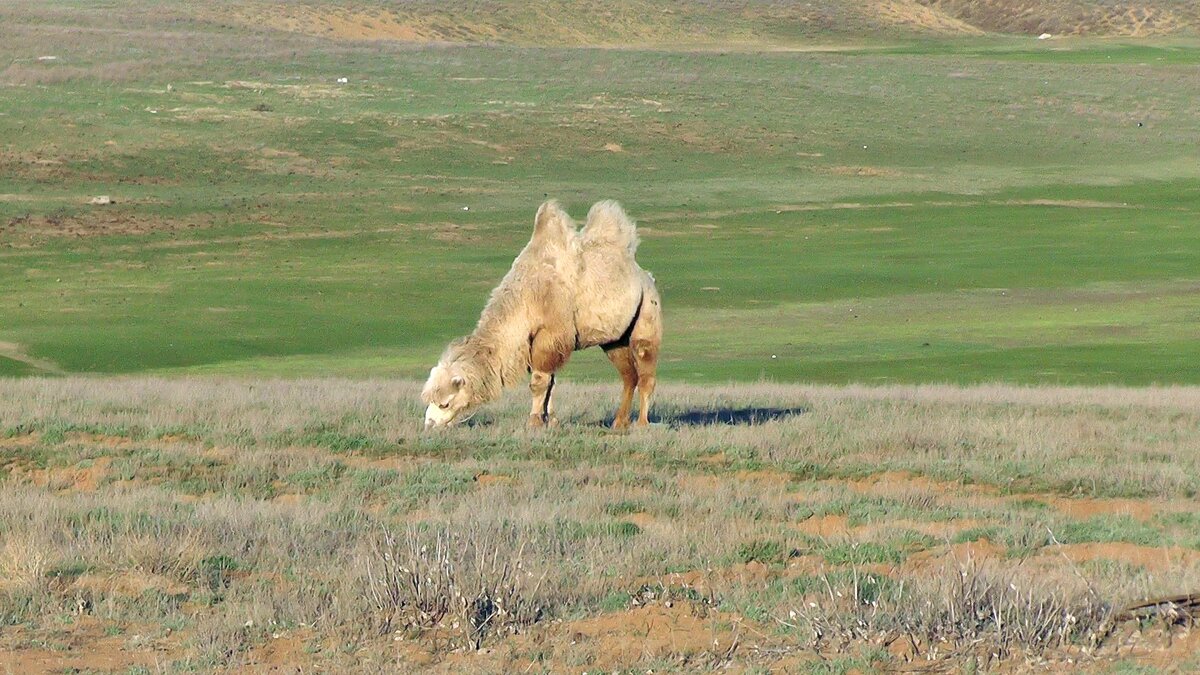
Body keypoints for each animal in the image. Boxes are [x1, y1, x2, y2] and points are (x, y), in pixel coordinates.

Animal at [422, 199, 662, 427]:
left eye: (445, 403)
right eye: (430, 400)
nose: (429, 424)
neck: (526, 297)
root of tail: (646, 276)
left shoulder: (550, 335)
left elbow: (539, 381)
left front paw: (535, 421)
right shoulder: (541, 342)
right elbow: (551, 382)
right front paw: (552, 420)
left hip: (647, 312)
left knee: (645, 370)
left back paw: (642, 423)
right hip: (614, 339)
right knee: (628, 376)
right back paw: (619, 423)